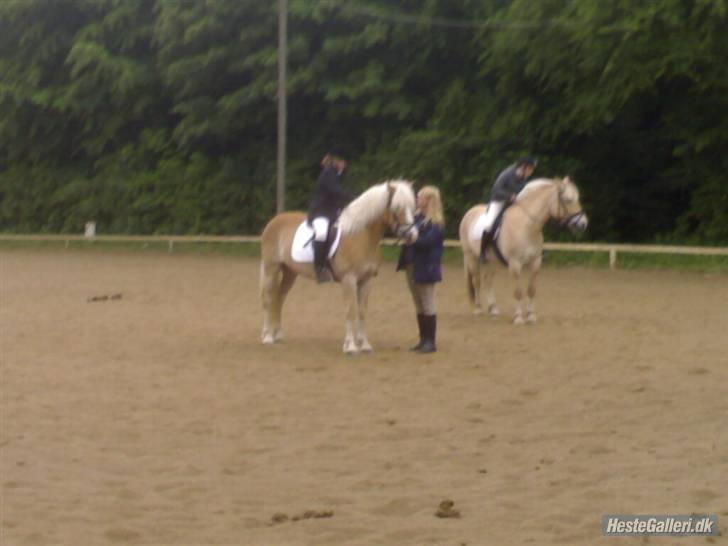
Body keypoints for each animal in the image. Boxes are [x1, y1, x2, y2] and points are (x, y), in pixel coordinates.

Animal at [258, 178, 418, 352]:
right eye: (397, 208)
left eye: (412, 208)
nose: (413, 235)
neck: (361, 235)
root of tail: (274, 221)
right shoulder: (349, 279)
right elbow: (350, 311)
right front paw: (351, 346)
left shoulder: (366, 280)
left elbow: (362, 312)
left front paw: (365, 345)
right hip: (271, 269)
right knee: (268, 298)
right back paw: (267, 337)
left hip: (290, 272)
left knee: (279, 298)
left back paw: (278, 335)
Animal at [458, 176, 588, 324]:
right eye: (568, 200)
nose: (583, 224)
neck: (527, 225)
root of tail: (469, 212)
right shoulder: (515, 264)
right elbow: (518, 292)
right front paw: (519, 317)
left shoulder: (536, 262)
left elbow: (531, 290)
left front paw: (531, 316)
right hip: (471, 257)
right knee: (477, 281)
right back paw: (479, 309)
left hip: (491, 260)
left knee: (488, 281)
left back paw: (493, 309)